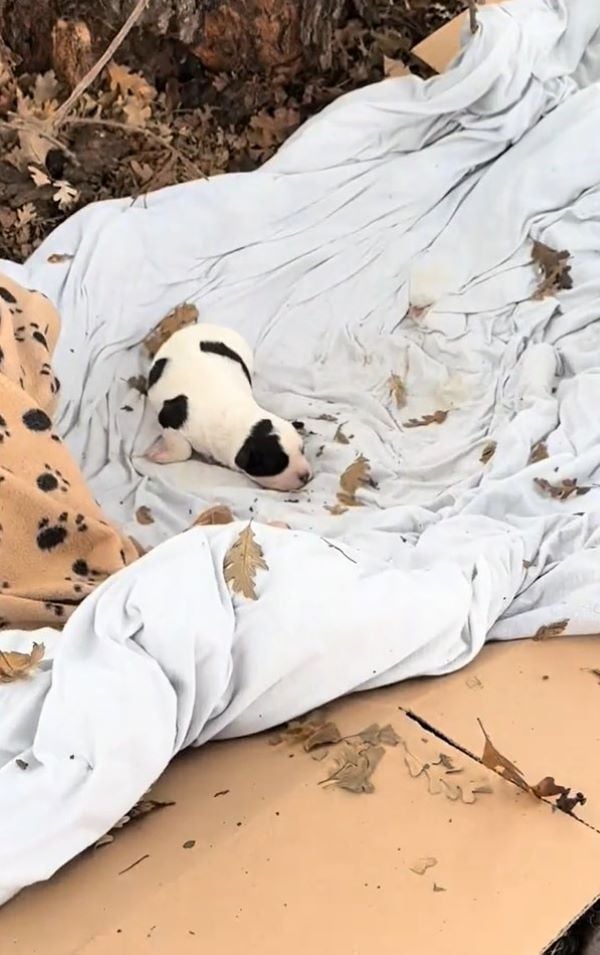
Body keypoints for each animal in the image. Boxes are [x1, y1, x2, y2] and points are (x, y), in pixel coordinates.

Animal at [146, 324, 314, 496]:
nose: (305, 476)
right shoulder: (169, 417)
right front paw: (160, 456)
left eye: (302, 450)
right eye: (277, 465)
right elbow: (183, 448)